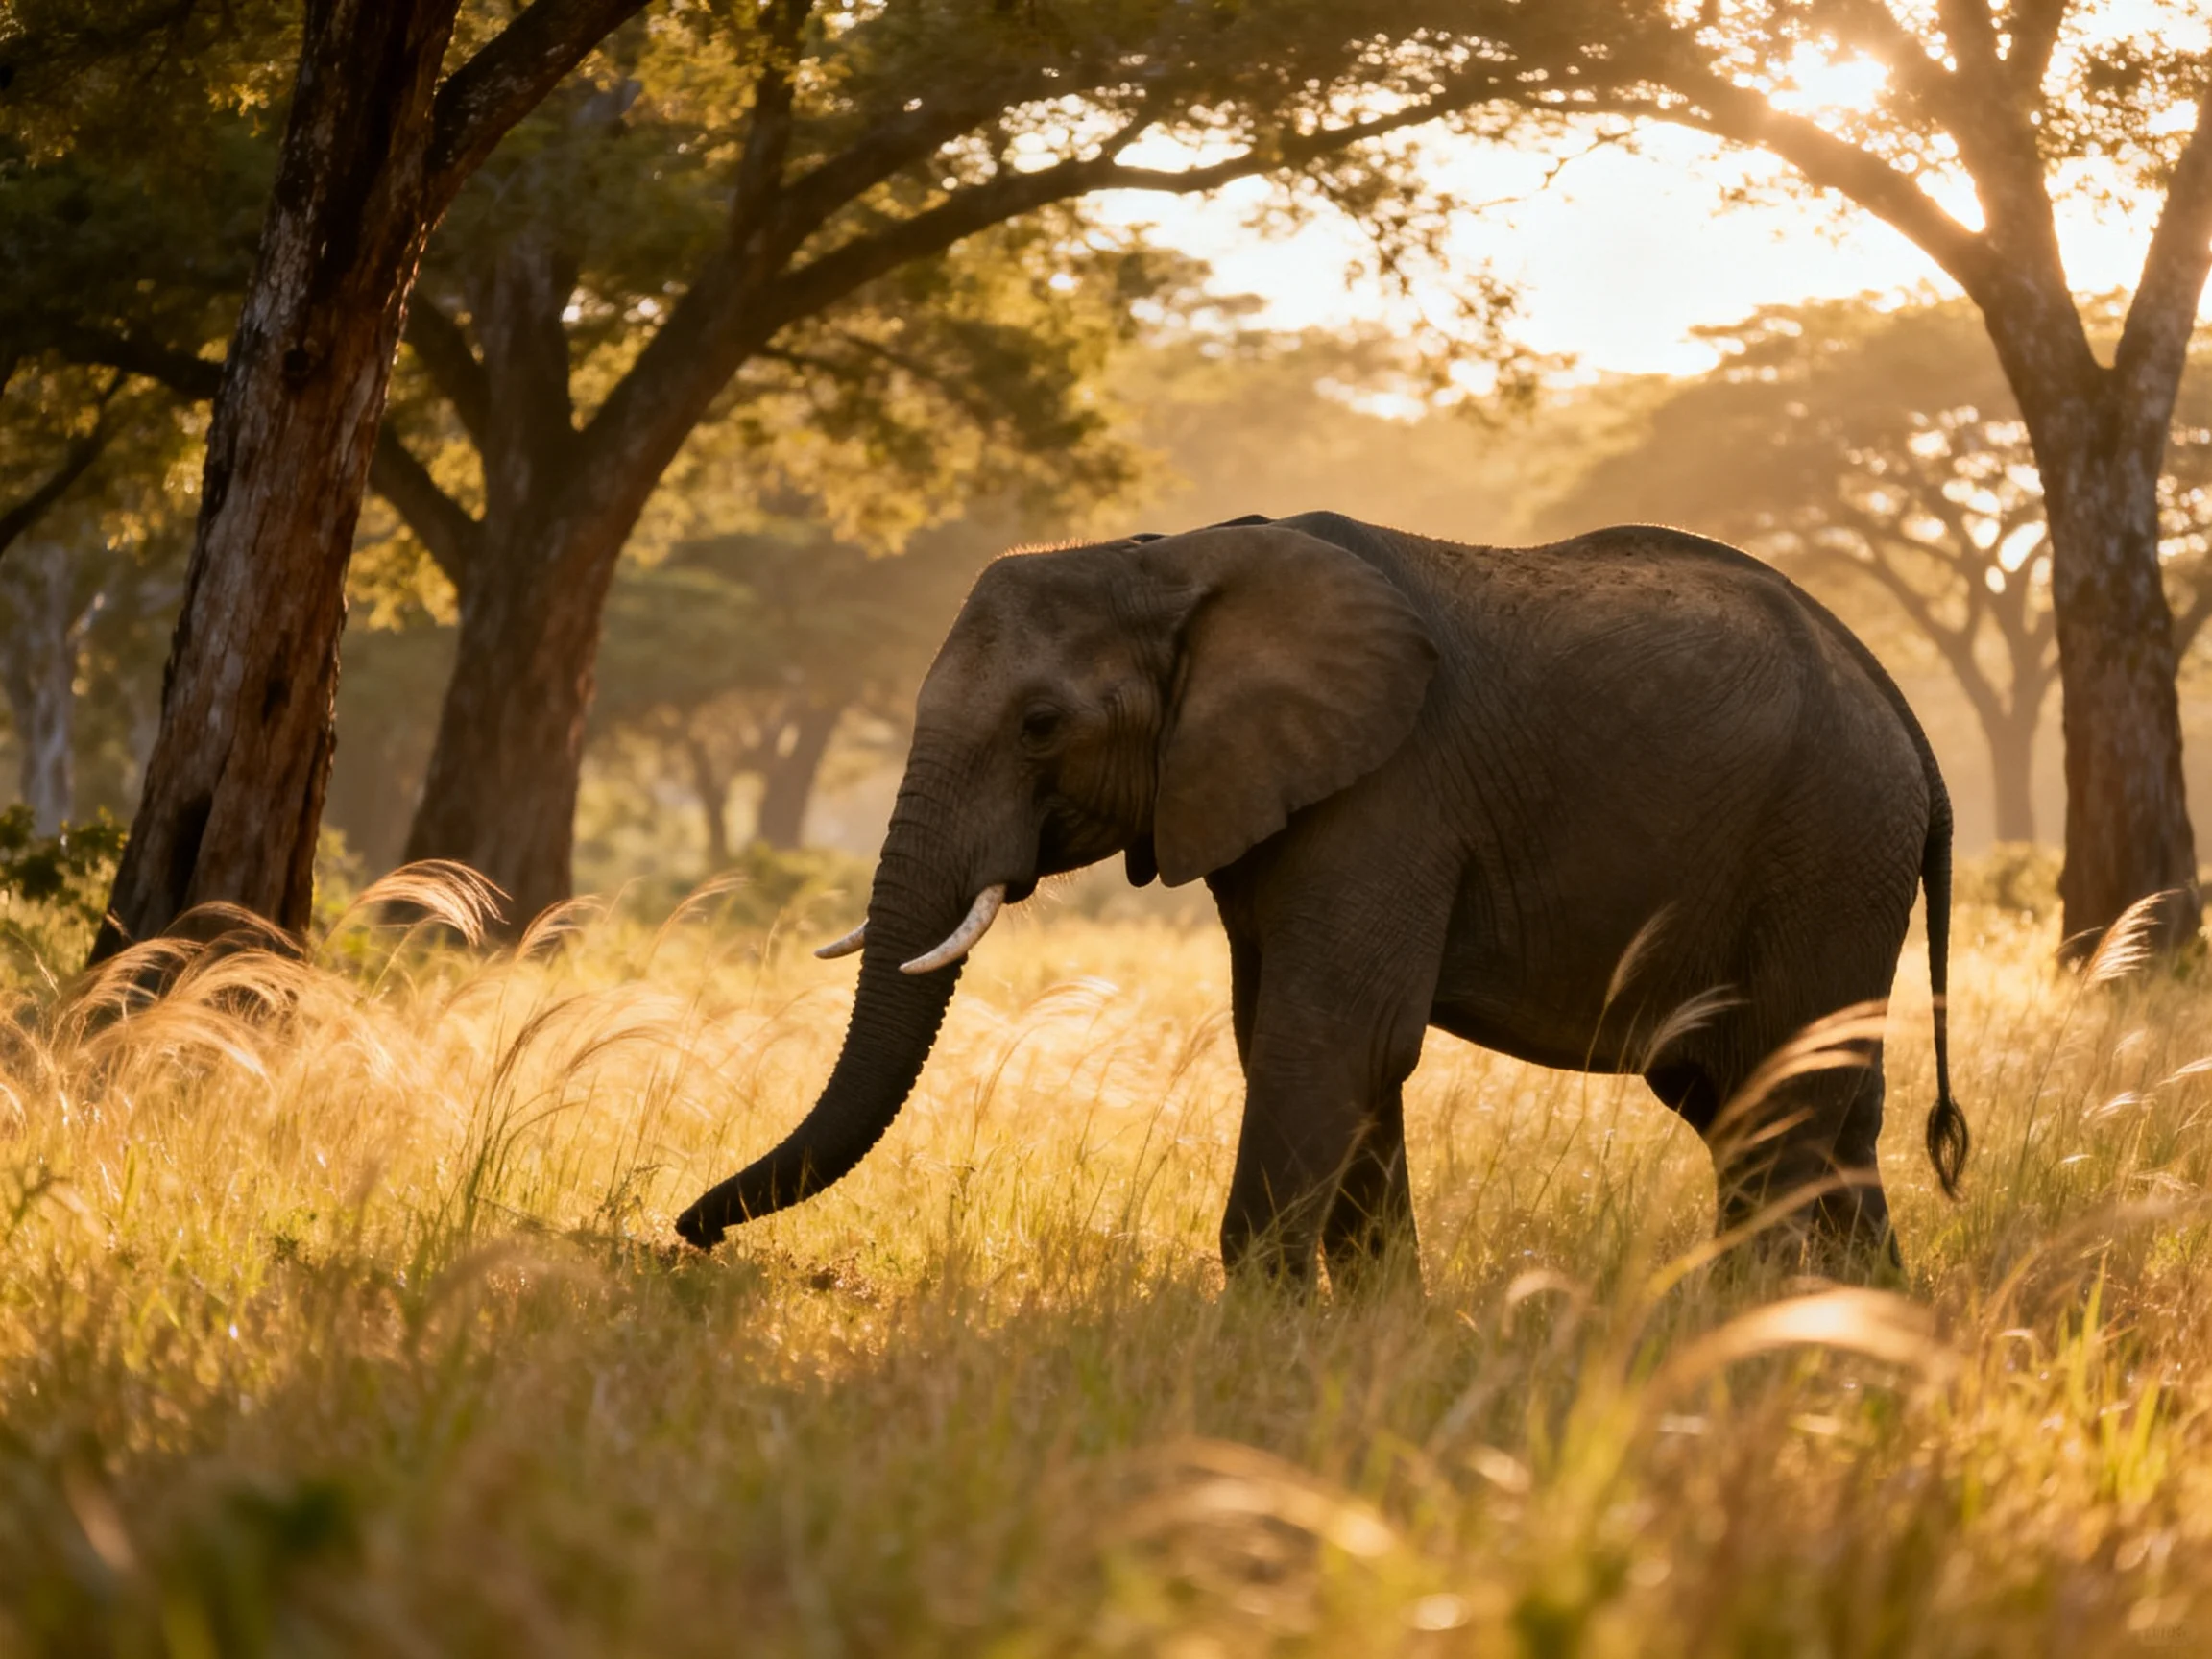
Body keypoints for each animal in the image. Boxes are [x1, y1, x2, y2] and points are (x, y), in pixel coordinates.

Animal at [675, 511, 1969, 1285]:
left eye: (1041, 724)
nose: (691, 1237)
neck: (1176, 561)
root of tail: (1908, 718)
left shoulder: (1390, 786)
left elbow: (1335, 1032)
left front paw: (1259, 1321)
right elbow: (1303, 1039)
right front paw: (1373, 1322)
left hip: (1827, 840)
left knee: (1779, 1090)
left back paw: (1755, 1328)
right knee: (1768, 1098)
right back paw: (1860, 1326)